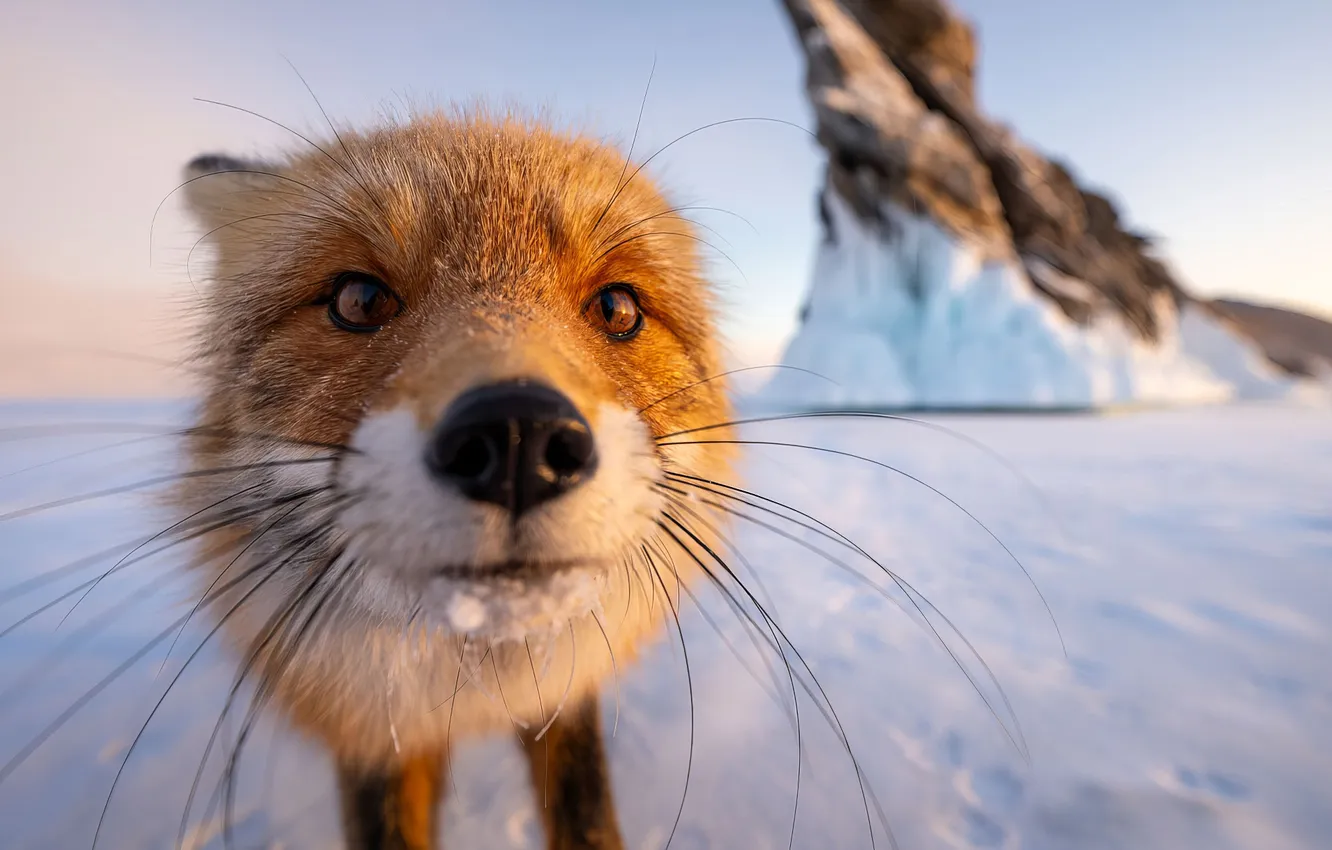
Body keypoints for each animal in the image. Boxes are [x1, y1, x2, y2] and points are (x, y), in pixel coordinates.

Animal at [173, 106, 738, 849]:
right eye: (359, 300)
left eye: (618, 309)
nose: (520, 438)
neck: (474, 678)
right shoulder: (371, 726)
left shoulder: (563, 690)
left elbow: (584, 808)